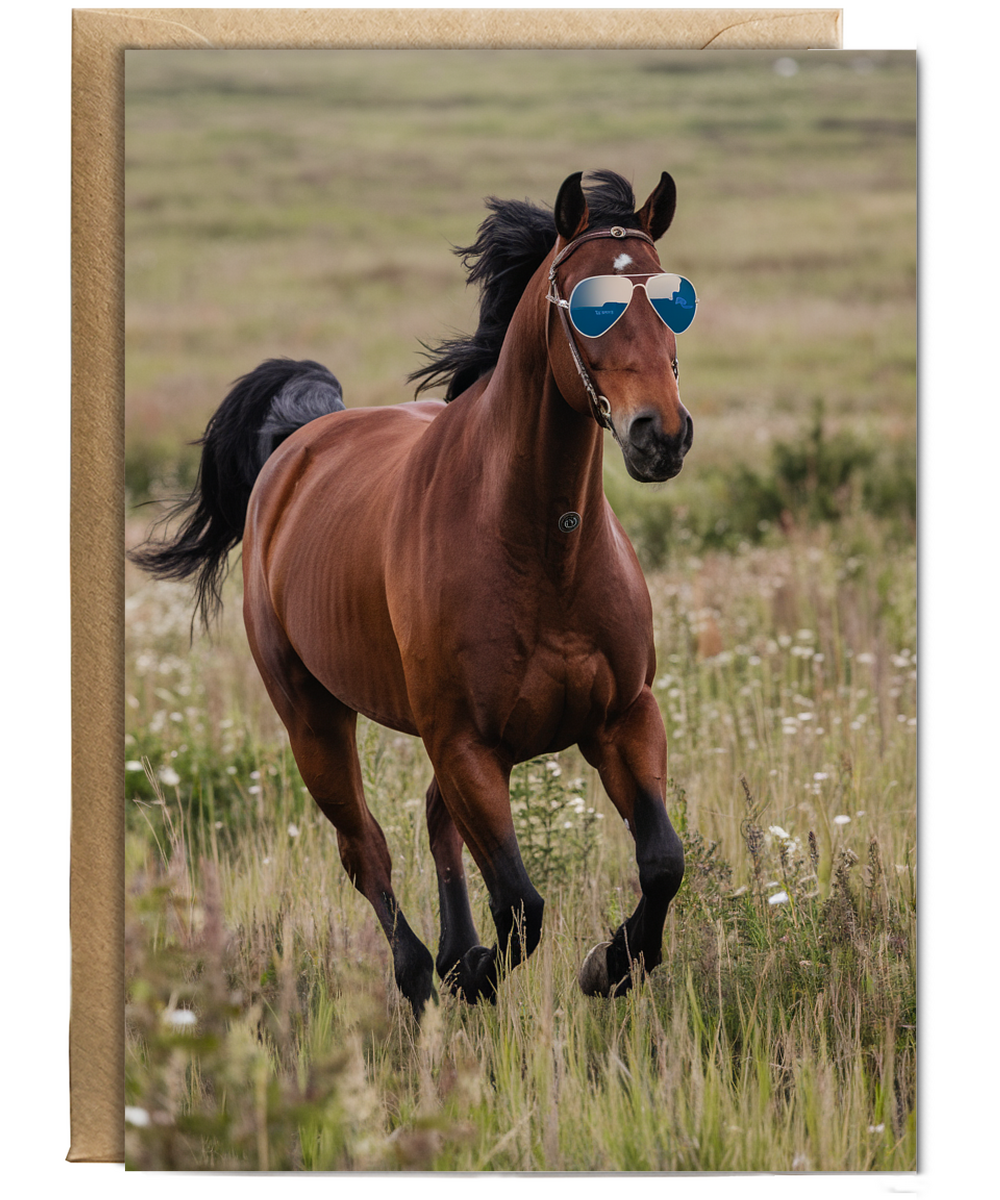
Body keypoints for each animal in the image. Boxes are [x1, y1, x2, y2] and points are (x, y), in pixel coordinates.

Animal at [130, 169, 696, 1015]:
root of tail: (297, 444)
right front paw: (478, 971)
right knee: (366, 850)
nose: (661, 435)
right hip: (313, 720)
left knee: (434, 825)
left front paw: (611, 964)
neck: (544, 551)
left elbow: (662, 861)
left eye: (673, 298)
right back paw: (423, 973)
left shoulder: (622, 717)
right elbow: (521, 904)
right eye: (589, 302)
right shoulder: (465, 743)